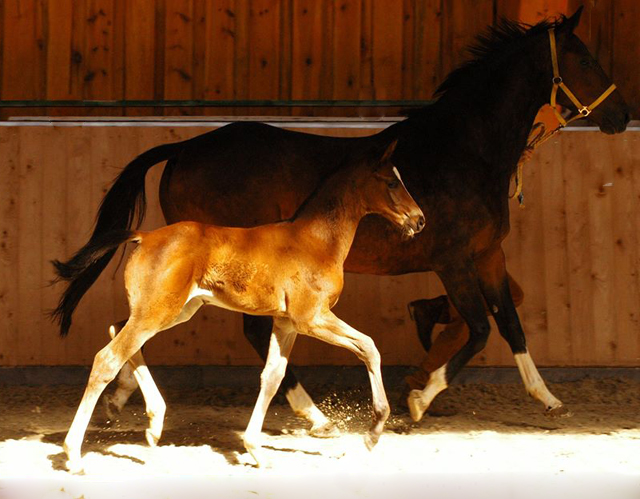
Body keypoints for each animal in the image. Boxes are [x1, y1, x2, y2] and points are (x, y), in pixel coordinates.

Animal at [51, 9, 632, 434]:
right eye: (584, 59)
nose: (622, 115)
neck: (463, 150)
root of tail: (185, 147)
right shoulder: (453, 261)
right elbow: (481, 329)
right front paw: (418, 398)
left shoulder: (488, 255)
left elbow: (511, 321)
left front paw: (546, 395)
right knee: (239, 330)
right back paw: (308, 413)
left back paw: (126, 397)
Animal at [53, 142, 424, 472]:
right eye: (392, 182)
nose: (419, 220)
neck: (315, 240)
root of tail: (145, 236)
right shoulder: (312, 318)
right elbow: (369, 348)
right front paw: (373, 432)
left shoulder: (286, 323)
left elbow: (272, 376)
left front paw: (256, 450)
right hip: (158, 312)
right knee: (108, 357)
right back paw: (74, 455)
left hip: (173, 310)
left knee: (118, 330)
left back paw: (151, 420)